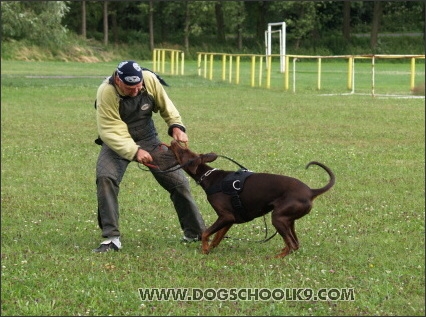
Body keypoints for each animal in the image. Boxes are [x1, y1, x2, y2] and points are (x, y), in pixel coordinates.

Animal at [168, 141, 334, 256]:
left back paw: (274, 258)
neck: (209, 178)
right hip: (288, 219)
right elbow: (216, 238)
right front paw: (209, 250)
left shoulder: (226, 216)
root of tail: (311, 191)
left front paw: (203, 251)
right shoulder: (230, 219)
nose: (173, 141)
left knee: (292, 245)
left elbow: (205, 233)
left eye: (183, 150)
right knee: (295, 244)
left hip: (278, 218)